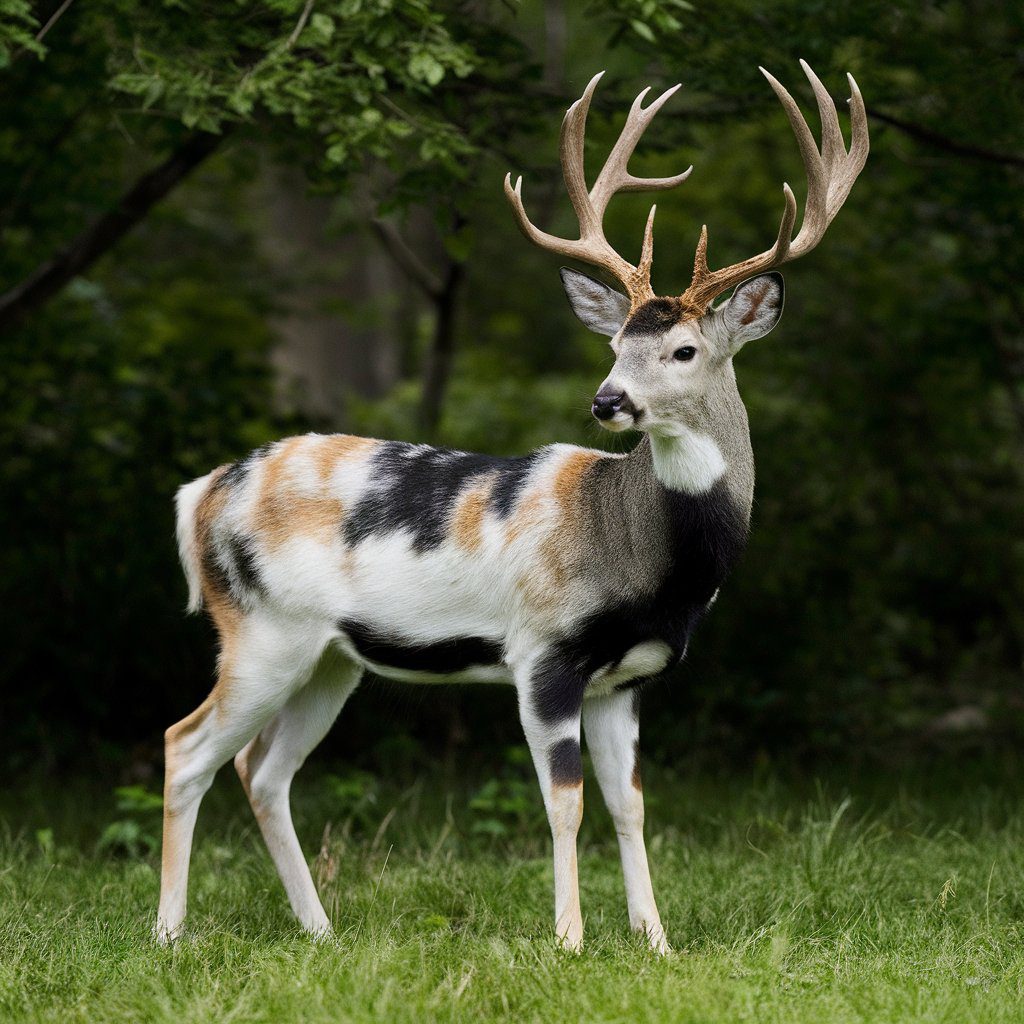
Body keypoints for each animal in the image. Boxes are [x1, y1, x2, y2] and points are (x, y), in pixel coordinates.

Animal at [157, 61, 868, 953]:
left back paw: (320, 931)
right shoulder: (543, 653)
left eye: (683, 349)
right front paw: (570, 940)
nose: (606, 401)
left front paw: (656, 941)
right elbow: (564, 804)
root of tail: (203, 491)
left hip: (328, 657)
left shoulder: (625, 678)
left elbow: (631, 805)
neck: (639, 553)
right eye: (614, 345)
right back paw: (169, 934)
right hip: (261, 629)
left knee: (263, 770)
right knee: (186, 746)